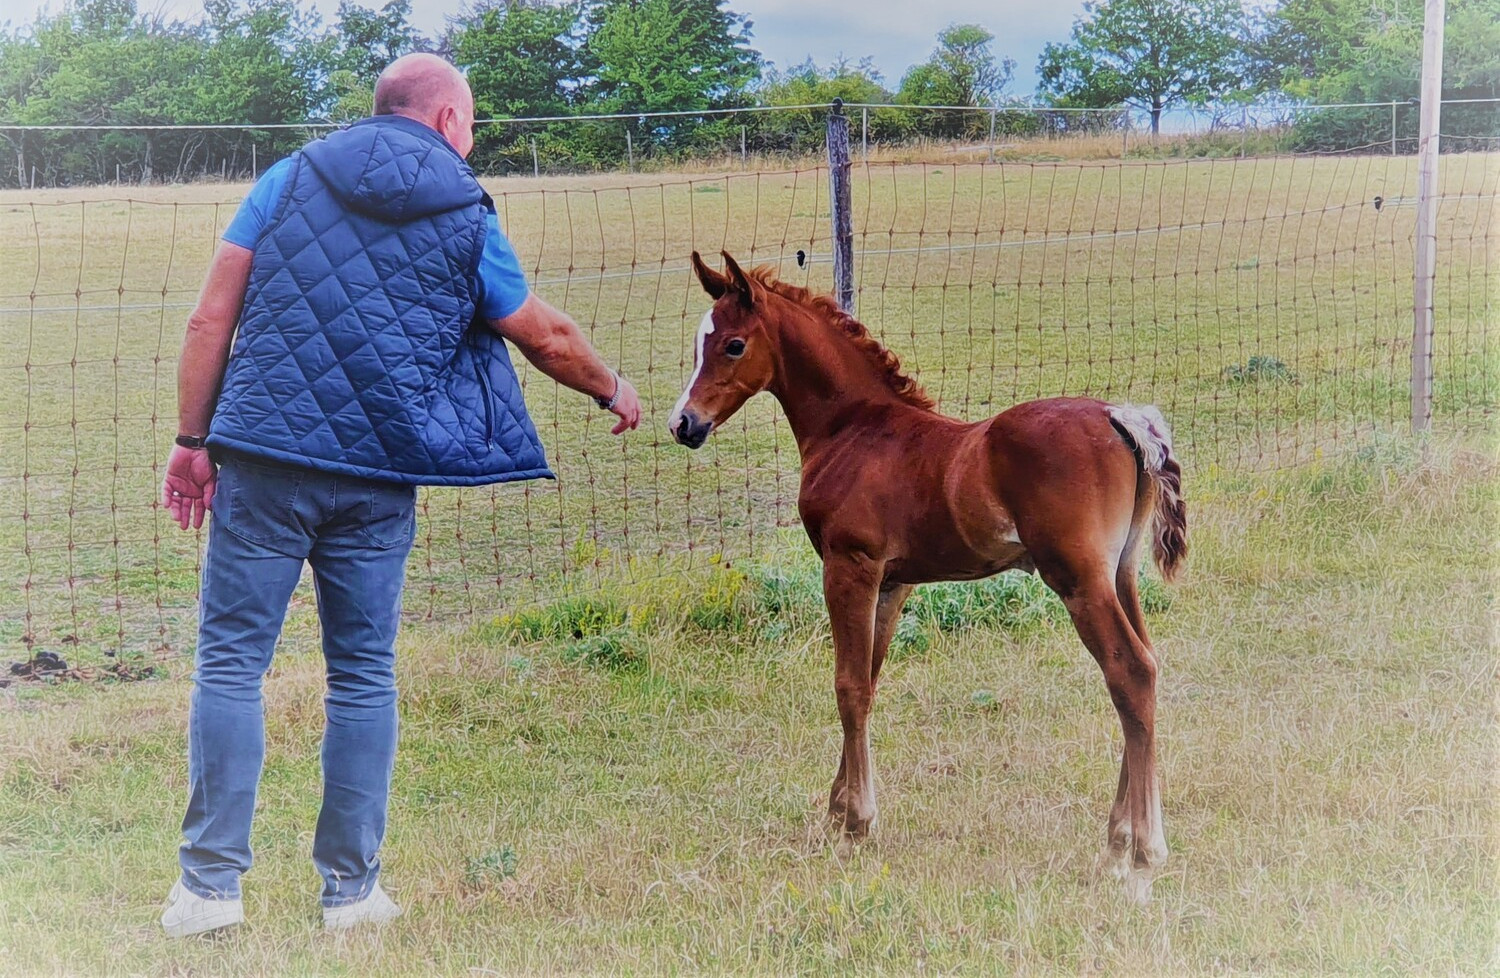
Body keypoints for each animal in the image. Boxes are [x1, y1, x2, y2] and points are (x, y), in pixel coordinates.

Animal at [668, 251, 1188, 903]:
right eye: (698, 343)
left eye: (733, 345)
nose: (683, 424)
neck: (853, 428)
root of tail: (1121, 416)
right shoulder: (892, 583)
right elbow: (867, 679)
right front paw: (838, 809)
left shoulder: (849, 567)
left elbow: (848, 686)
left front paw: (856, 825)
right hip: (1120, 575)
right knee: (1146, 670)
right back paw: (1120, 837)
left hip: (1080, 582)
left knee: (1130, 672)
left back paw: (1141, 850)